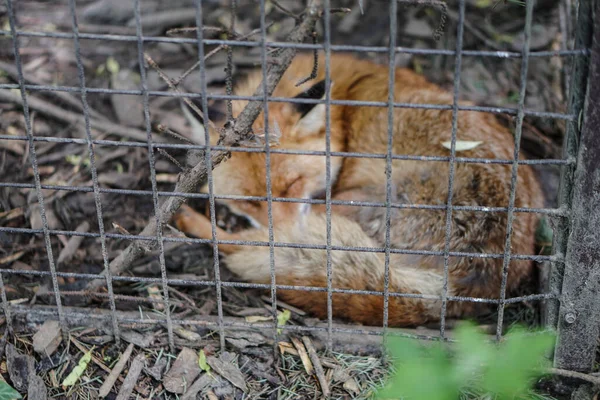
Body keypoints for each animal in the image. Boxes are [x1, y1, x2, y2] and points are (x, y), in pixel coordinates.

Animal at [172, 52, 544, 328]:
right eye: (249, 202)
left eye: (292, 184)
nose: (283, 237)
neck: (345, 111)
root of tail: (459, 289)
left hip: (354, 203)